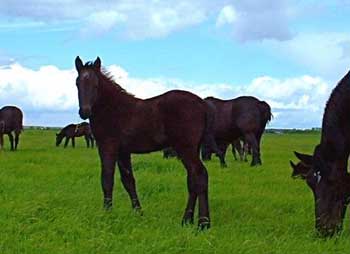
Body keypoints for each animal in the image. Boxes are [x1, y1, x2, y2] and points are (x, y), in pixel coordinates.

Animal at [74, 56, 219, 229]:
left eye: (96, 85)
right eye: (77, 83)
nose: (84, 112)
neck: (113, 109)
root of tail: (203, 105)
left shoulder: (107, 146)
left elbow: (107, 179)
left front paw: (107, 213)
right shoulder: (123, 151)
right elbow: (128, 181)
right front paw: (138, 213)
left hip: (186, 148)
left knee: (200, 175)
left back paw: (203, 223)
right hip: (191, 148)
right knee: (192, 179)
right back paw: (187, 220)